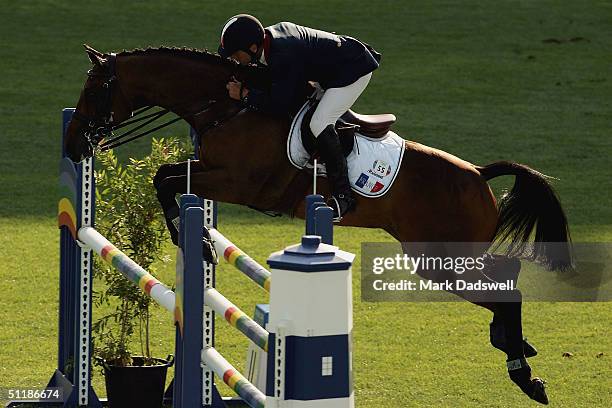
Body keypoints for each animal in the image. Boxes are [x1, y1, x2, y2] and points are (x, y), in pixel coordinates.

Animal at [64, 45, 572, 404]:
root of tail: (478, 175)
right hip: (440, 258)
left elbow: (167, 180)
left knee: (507, 284)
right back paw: (514, 346)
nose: (72, 145)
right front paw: (194, 236)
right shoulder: (208, 170)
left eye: (94, 89)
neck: (229, 106)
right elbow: (166, 177)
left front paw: (195, 239)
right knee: (504, 281)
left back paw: (525, 374)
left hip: (441, 258)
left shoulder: (236, 182)